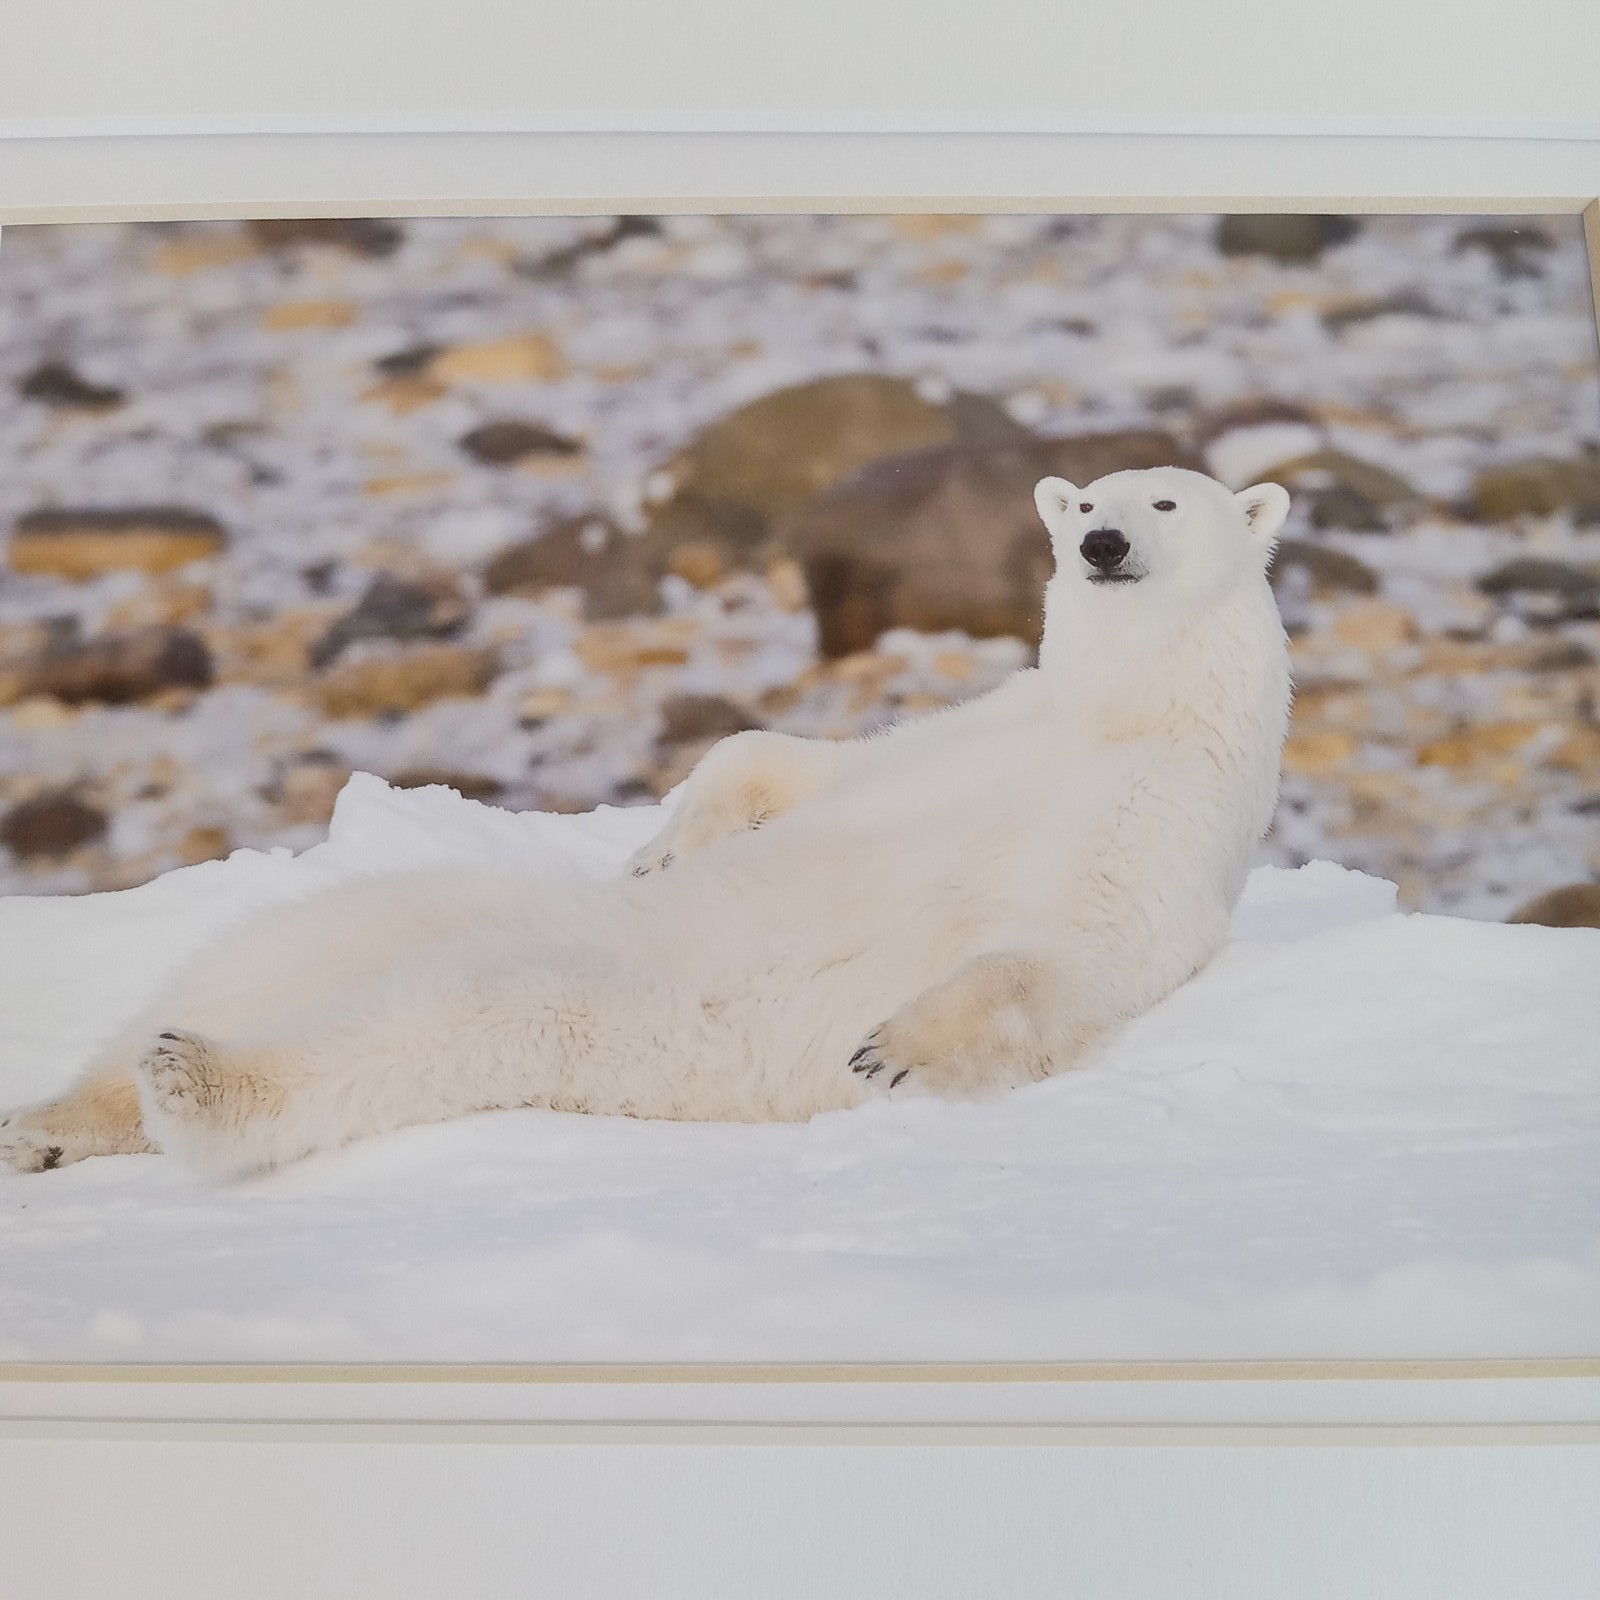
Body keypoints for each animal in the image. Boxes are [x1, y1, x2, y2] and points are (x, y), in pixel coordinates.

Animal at [0, 467, 1293, 1177]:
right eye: (1083, 501)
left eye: (1164, 498)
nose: (1100, 542)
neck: (1126, 706)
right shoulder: (995, 722)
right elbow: (799, 762)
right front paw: (670, 842)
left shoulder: (1170, 809)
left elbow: (1082, 946)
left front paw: (891, 1045)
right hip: (432, 906)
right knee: (277, 946)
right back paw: (58, 1116)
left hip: (609, 1014)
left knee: (433, 1022)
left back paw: (193, 1083)